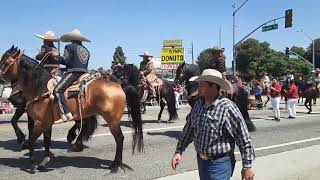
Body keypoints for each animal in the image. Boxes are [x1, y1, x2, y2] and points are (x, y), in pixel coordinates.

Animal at [0, 46, 144, 173]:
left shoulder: (39, 122)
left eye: (5, 61)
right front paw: (45, 159)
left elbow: (31, 140)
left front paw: (33, 160)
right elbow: (46, 141)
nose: (14, 98)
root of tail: (120, 85)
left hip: (112, 120)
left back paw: (114, 165)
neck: (40, 88)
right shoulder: (46, 123)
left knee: (119, 138)